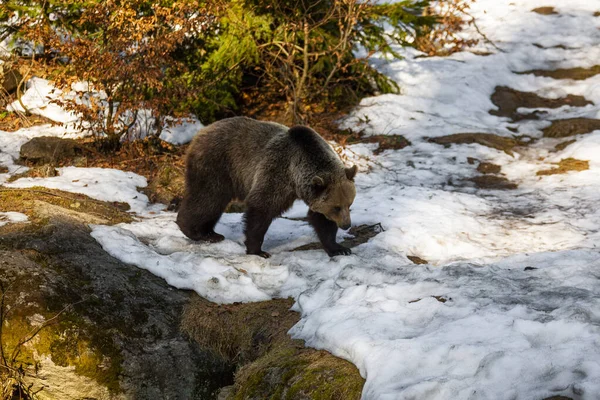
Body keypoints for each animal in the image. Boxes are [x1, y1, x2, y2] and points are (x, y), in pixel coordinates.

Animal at [177, 116, 356, 260]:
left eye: (349, 204)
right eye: (336, 207)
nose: (346, 225)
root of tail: (202, 131)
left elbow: (322, 220)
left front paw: (339, 249)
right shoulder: (276, 173)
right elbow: (262, 208)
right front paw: (258, 250)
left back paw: (210, 233)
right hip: (216, 164)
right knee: (208, 197)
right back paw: (196, 231)